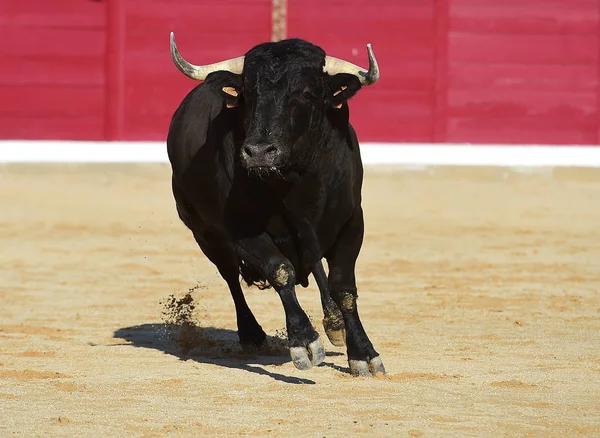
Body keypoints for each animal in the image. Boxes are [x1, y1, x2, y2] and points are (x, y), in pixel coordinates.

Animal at [166, 34, 386, 376]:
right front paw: (305, 342)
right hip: (205, 234)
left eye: (307, 93)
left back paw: (334, 322)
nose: (258, 152)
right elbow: (281, 271)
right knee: (231, 276)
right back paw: (251, 333)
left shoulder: (352, 223)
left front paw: (363, 353)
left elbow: (344, 288)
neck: (295, 181)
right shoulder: (241, 231)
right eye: (248, 94)